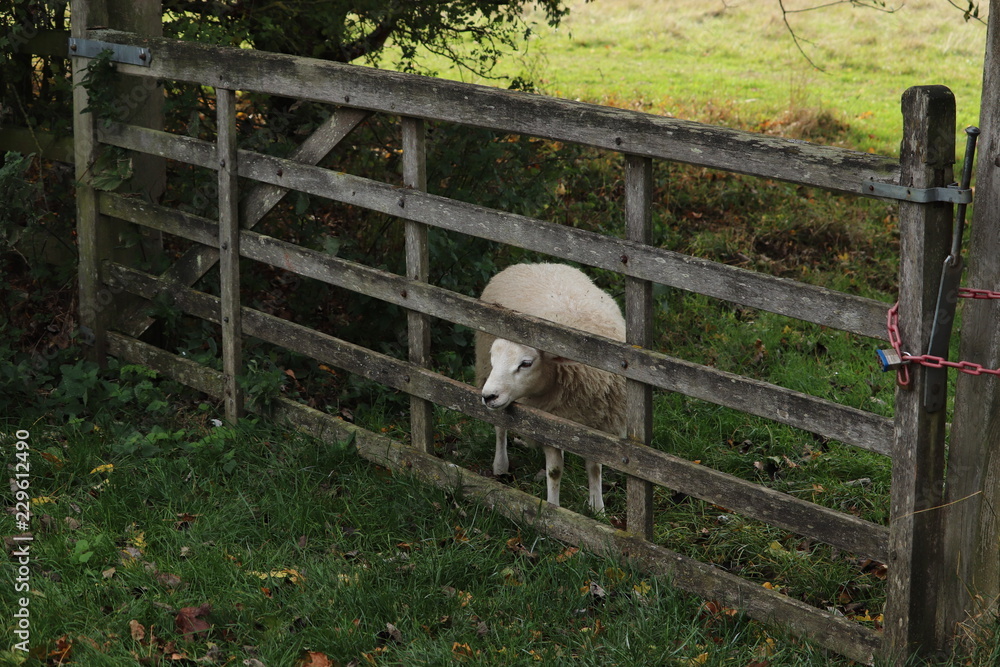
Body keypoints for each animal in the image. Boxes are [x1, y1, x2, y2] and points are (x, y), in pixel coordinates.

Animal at [474, 263, 626, 512]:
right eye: (495, 359)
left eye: (526, 363)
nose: (488, 396)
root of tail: (533, 264)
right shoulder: (548, 425)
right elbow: (555, 472)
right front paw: (553, 508)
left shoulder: (600, 423)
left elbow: (595, 467)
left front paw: (598, 509)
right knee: (500, 428)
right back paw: (500, 466)